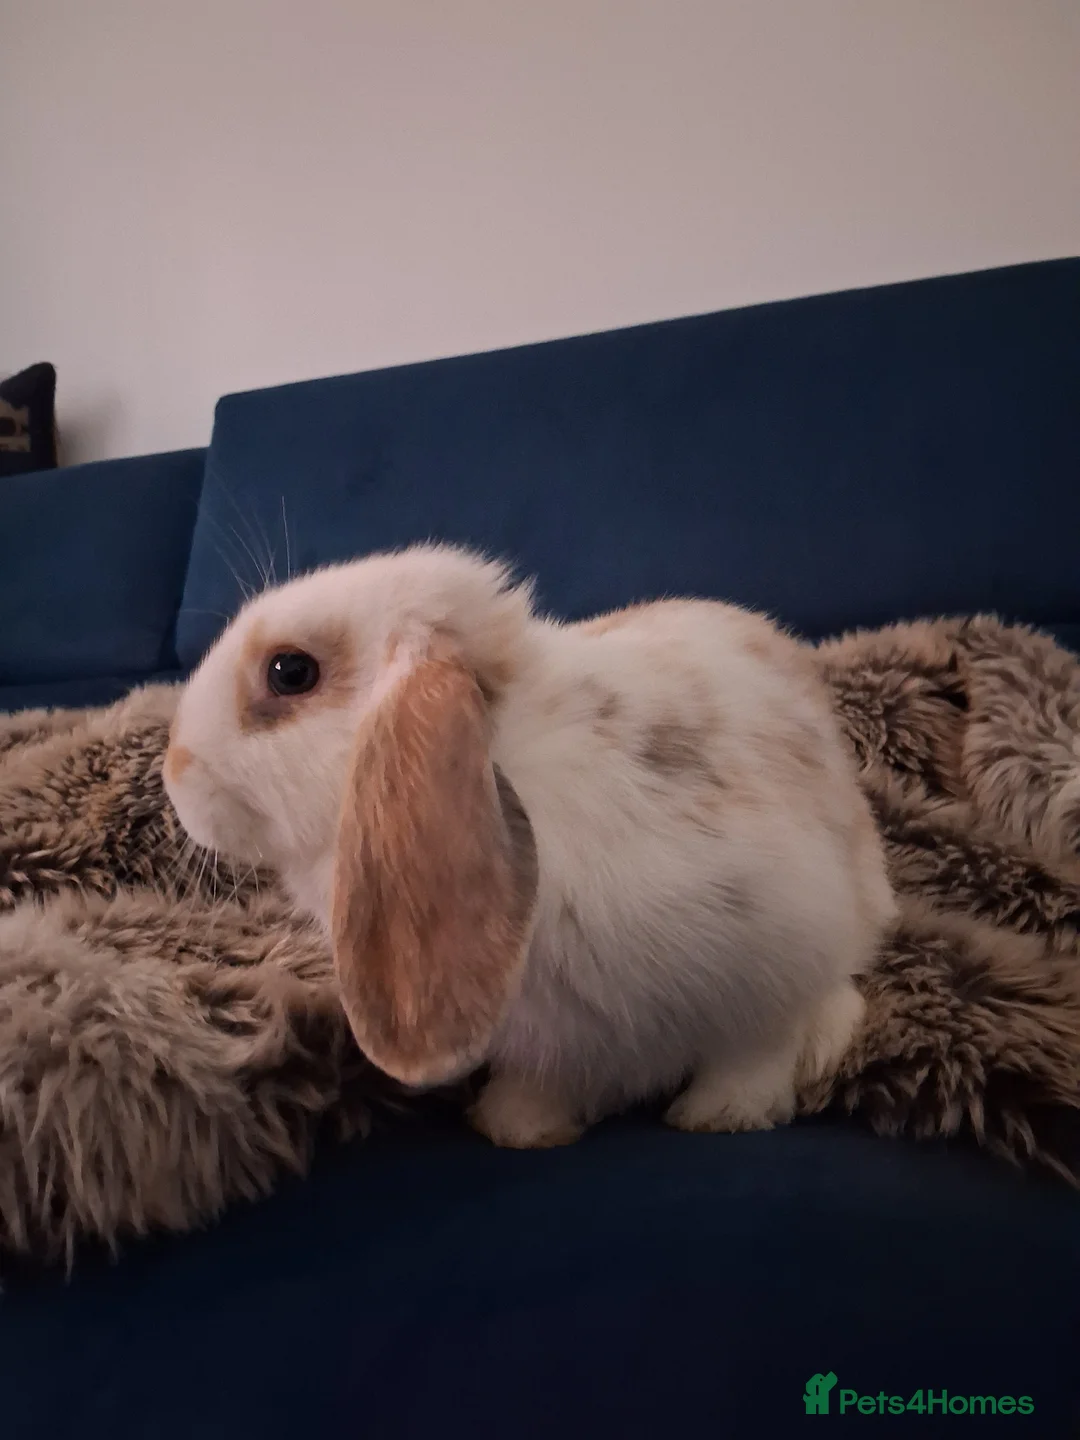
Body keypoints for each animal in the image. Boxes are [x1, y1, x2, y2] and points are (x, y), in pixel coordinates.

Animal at [164, 543, 897, 1149]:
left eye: (290, 671)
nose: (173, 770)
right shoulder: (556, 1040)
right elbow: (547, 1085)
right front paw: (515, 1127)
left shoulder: (778, 957)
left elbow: (756, 1053)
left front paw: (724, 1115)